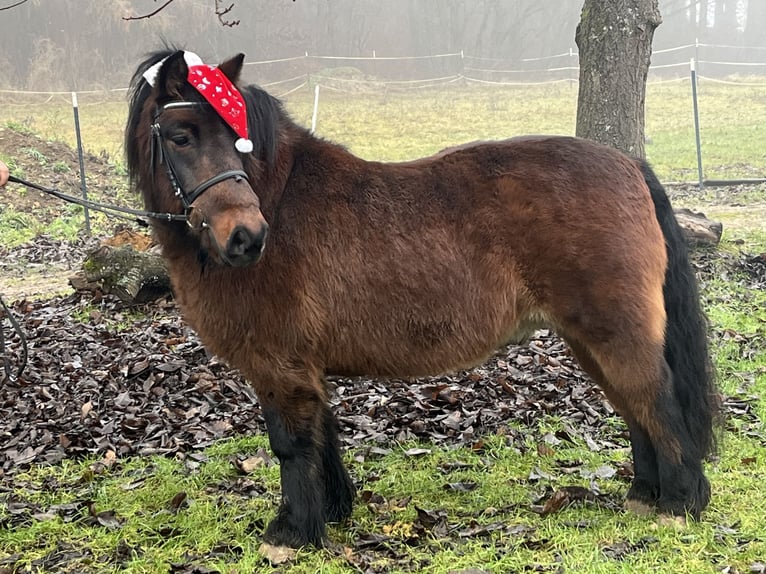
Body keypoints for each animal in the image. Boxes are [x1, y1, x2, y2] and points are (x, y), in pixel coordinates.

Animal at [125, 48, 718, 550]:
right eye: (180, 136)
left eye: (238, 140)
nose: (246, 237)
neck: (280, 201)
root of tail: (628, 164)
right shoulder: (306, 366)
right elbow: (324, 435)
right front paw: (333, 510)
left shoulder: (279, 366)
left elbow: (291, 443)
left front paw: (292, 531)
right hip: (589, 339)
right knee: (633, 406)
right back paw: (645, 496)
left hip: (614, 332)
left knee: (654, 400)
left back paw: (680, 502)